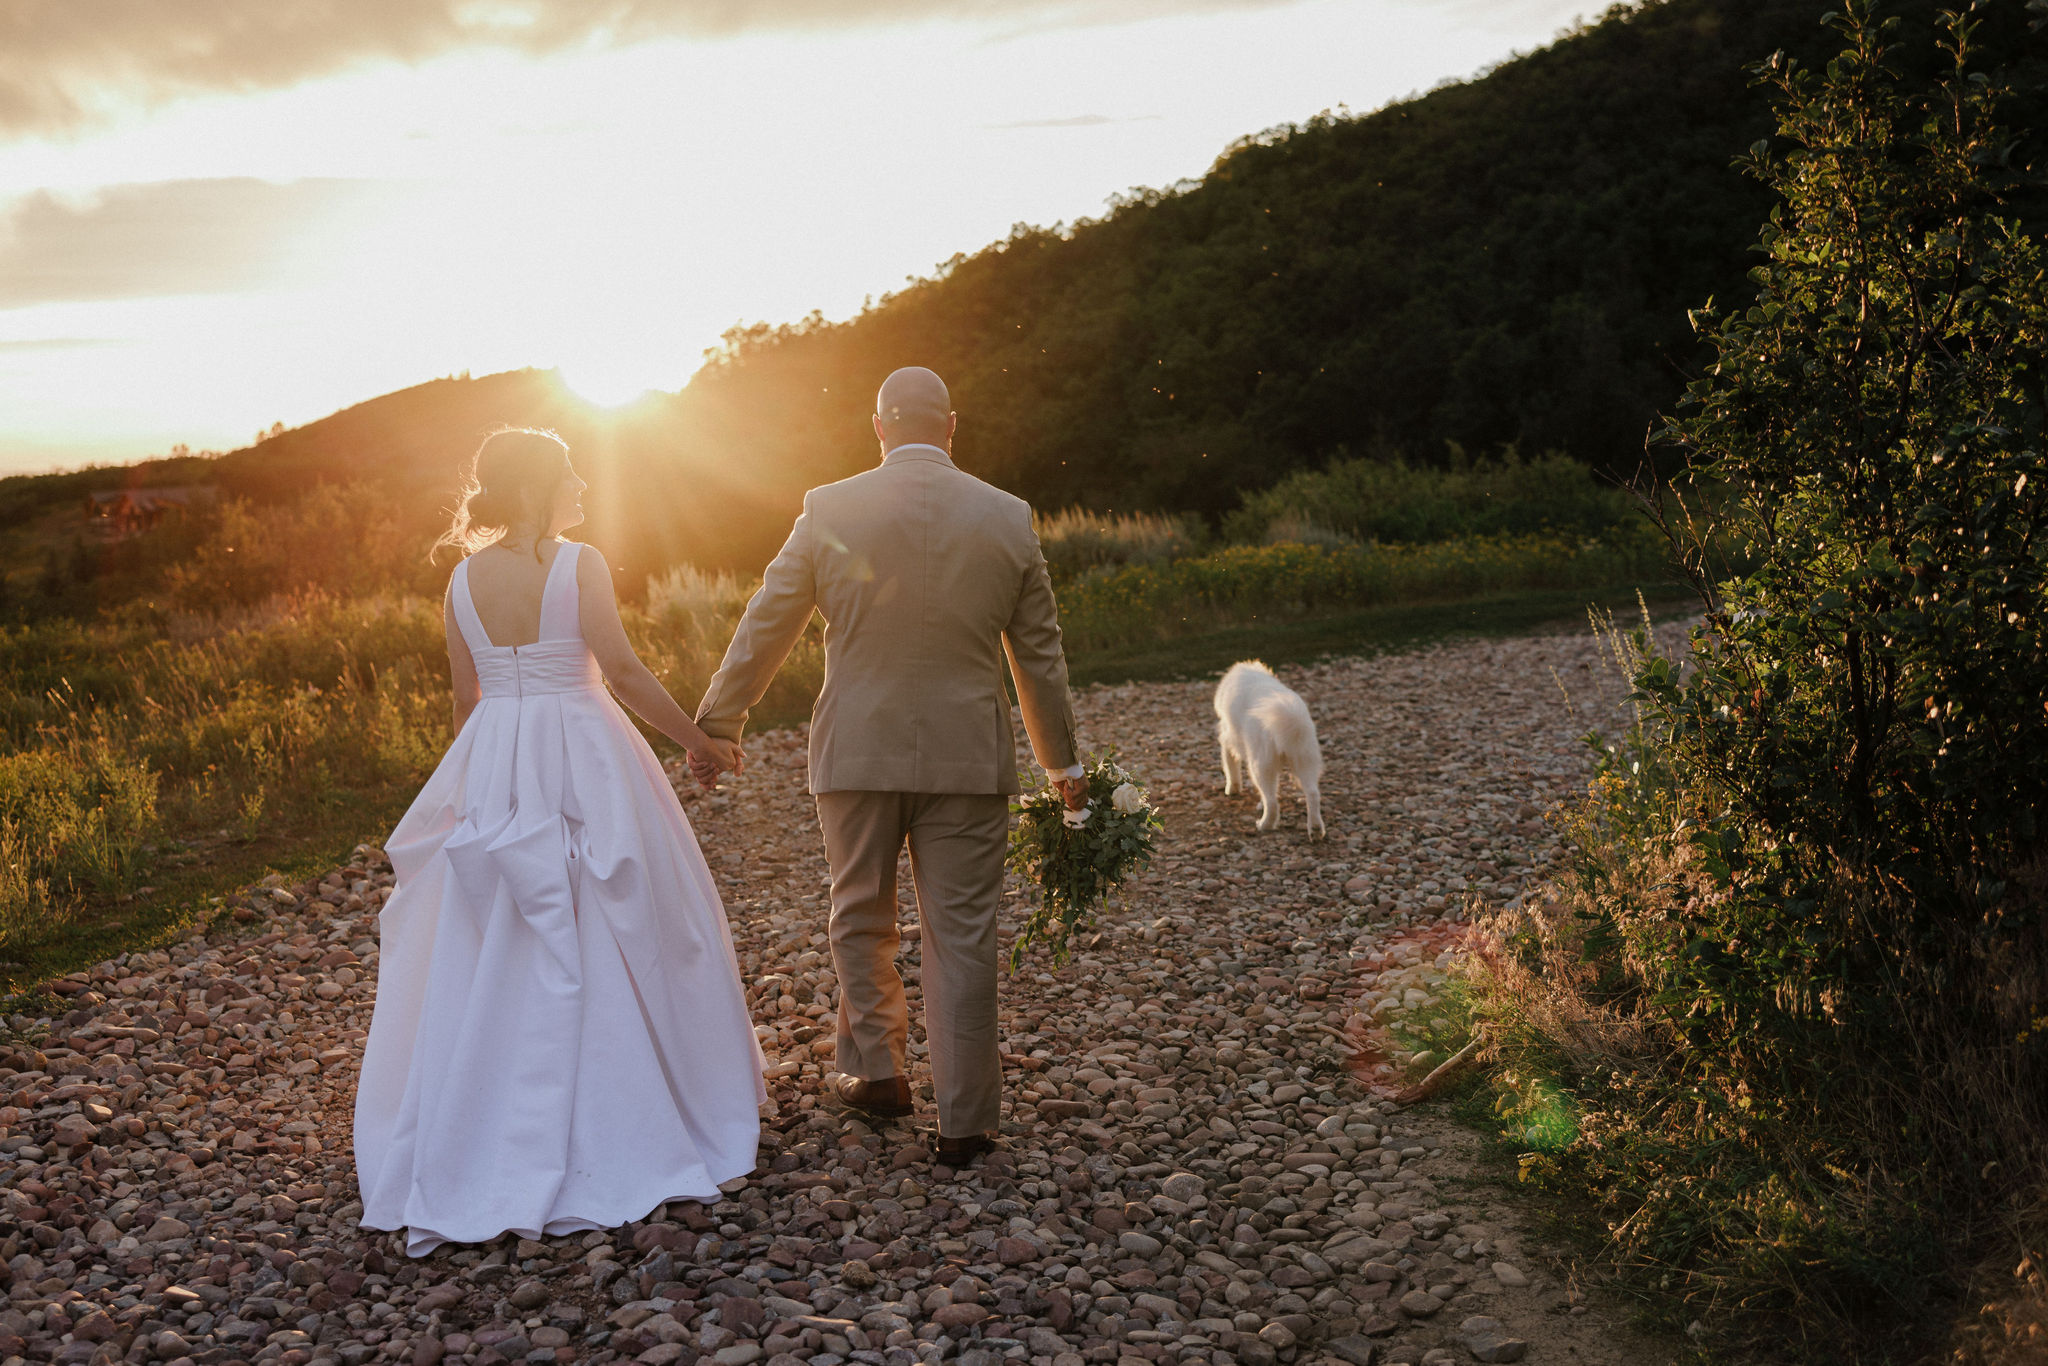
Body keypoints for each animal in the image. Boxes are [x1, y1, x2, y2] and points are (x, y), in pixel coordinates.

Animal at [1212, 659, 1327, 839]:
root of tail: (1290, 718)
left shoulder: (1228, 740)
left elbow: (1231, 769)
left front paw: (1232, 790)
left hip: (1260, 766)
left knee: (1272, 802)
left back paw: (1264, 825)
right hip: (1305, 761)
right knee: (1313, 794)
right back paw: (1315, 829)